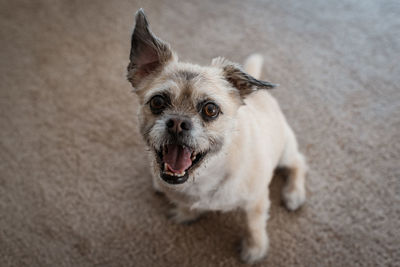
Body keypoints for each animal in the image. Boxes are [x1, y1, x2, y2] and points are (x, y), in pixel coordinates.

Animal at [127, 9, 306, 264]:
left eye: (210, 110)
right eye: (157, 102)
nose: (178, 123)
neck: (204, 176)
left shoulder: (256, 201)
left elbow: (254, 225)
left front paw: (255, 249)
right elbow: (188, 206)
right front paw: (186, 214)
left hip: (285, 152)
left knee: (299, 163)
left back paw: (294, 194)